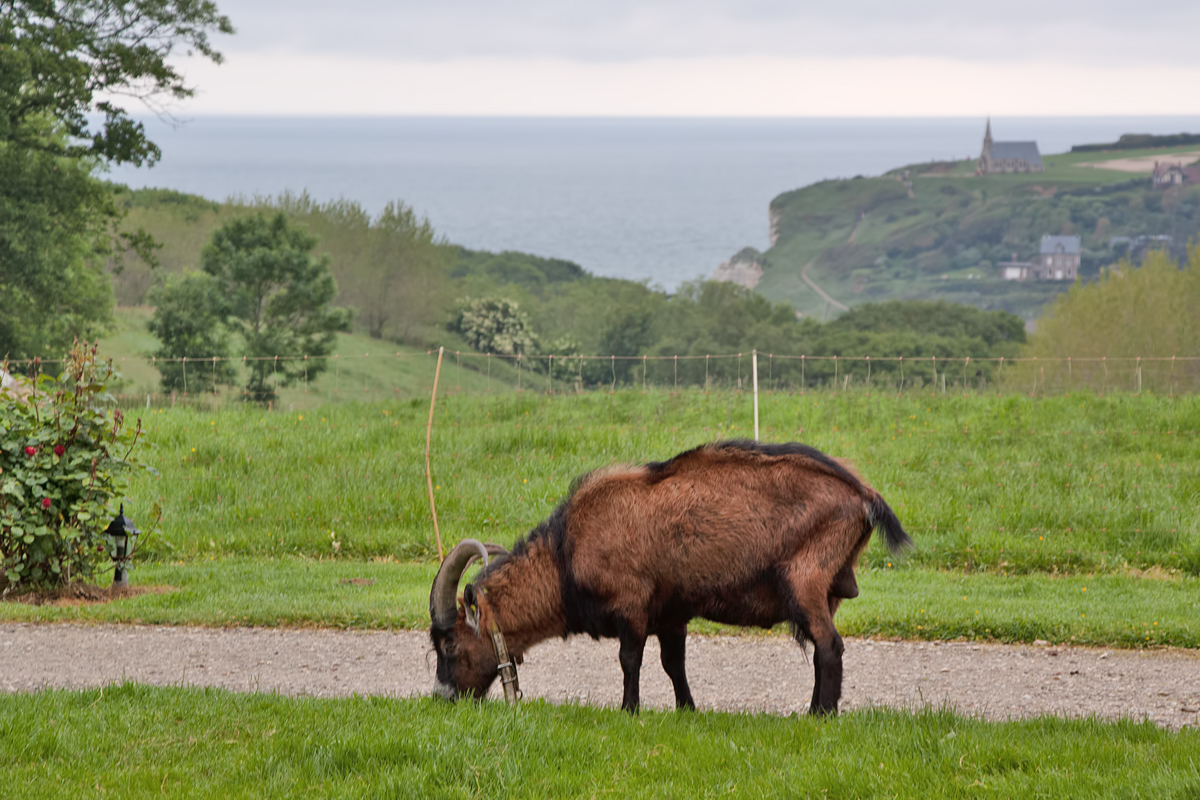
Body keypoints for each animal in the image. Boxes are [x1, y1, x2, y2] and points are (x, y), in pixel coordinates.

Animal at [432, 441, 907, 714]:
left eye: (449, 643)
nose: (443, 697)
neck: (565, 555)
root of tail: (862, 495)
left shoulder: (631, 604)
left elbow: (629, 660)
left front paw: (629, 710)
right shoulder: (670, 613)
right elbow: (673, 663)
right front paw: (686, 710)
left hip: (805, 578)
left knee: (829, 646)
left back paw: (819, 715)